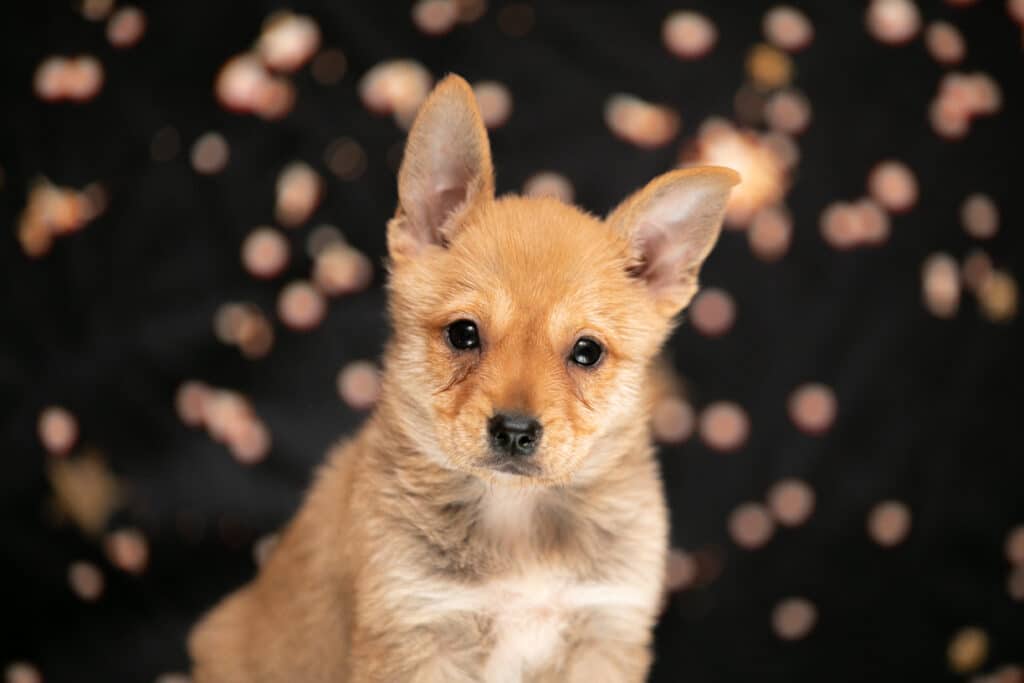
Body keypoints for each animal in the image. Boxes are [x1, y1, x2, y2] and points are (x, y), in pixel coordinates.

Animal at [190, 74, 737, 683]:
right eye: (463, 333)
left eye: (587, 351)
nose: (515, 431)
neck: (516, 516)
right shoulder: (416, 634)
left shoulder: (604, 634)